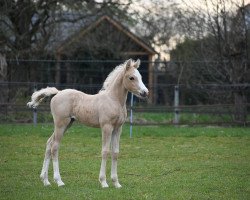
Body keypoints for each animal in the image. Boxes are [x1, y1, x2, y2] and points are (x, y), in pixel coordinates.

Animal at [27, 58, 148, 188]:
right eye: (131, 77)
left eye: (140, 76)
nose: (145, 92)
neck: (113, 100)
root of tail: (58, 93)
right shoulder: (106, 127)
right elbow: (105, 151)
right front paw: (103, 182)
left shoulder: (117, 128)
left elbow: (115, 152)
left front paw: (116, 183)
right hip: (61, 124)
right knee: (54, 147)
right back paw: (59, 181)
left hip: (67, 124)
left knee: (49, 144)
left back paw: (45, 180)